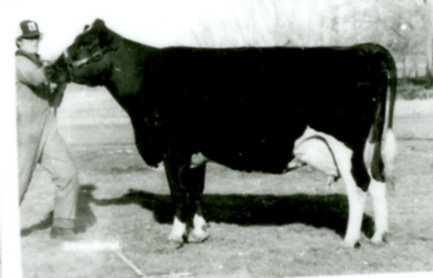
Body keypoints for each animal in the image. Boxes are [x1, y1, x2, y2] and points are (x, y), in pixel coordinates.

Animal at [46, 18, 394, 247]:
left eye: (84, 45)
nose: (50, 68)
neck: (149, 75)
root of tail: (363, 49)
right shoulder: (195, 152)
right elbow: (196, 192)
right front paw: (200, 232)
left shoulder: (172, 147)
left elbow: (178, 192)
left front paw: (177, 235)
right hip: (369, 142)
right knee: (378, 180)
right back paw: (379, 235)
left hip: (345, 142)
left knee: (359, 185)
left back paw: (350, 240)